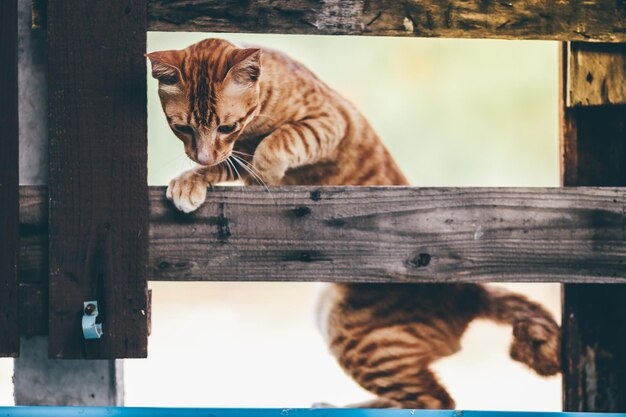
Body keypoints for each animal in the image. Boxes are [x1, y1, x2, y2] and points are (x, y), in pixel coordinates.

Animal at [147, 39, 560, 410]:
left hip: (361, 339)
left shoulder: (326, 124)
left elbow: (279, 141)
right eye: (183, 128)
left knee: (437, 402)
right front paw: (190, 180)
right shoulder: (235, 155)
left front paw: (262, 172)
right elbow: (221, 165)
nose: (202, 153)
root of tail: (471, 289)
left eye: (226, 126)